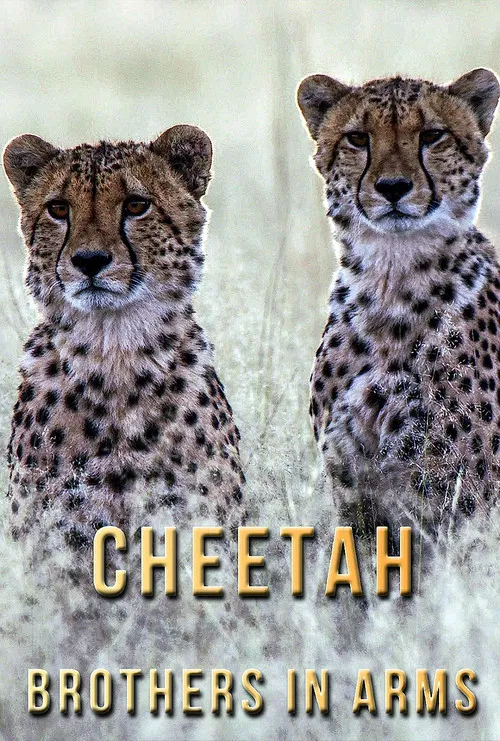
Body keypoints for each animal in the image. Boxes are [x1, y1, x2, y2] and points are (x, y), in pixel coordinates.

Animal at [297, 67, 500, 539]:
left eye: (432, 136)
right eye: (357, 138)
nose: (393, 187)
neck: (391, 278)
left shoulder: (463, 498)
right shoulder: (352, 486)